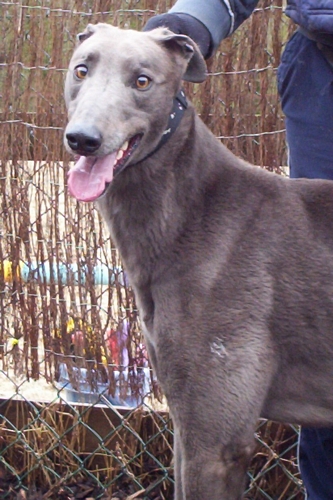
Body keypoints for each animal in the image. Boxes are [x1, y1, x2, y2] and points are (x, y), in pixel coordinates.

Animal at [65, 23, 333, 500]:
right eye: (81, 69)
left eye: (142, 81)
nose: (83, 138)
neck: (195, 212)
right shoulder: (183, 419)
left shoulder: (216, 442)